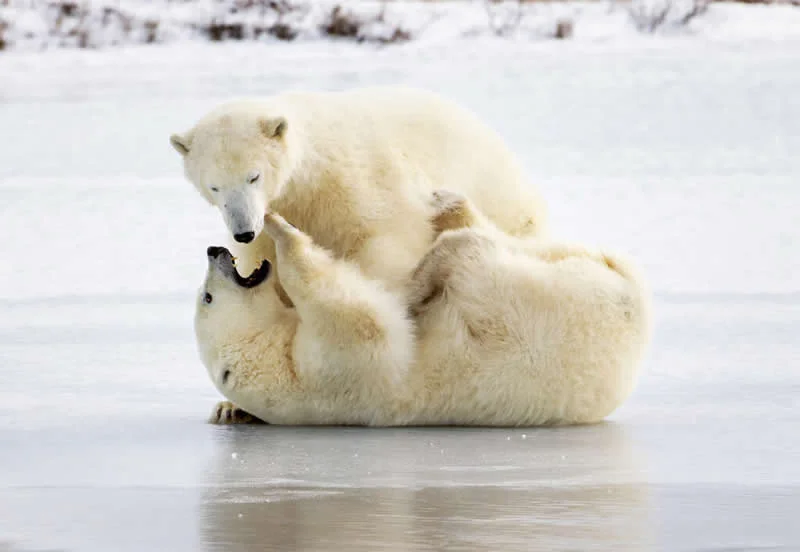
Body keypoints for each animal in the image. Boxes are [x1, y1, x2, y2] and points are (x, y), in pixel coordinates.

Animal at [171, 86, 548, 306]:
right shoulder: (279, 212)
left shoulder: (359, 183)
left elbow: (387, 238)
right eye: (214, 186)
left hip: (497, 193)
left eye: (254, 176)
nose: (243, 232)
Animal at [195, 192, 652, 427]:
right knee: (474, 257)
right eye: (208, 298)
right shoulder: (332, 372)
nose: (215, 250)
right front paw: (280, 227)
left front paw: (230, 409)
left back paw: (445, 205)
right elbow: (365, 322)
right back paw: (428, 270)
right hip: (552, 304)